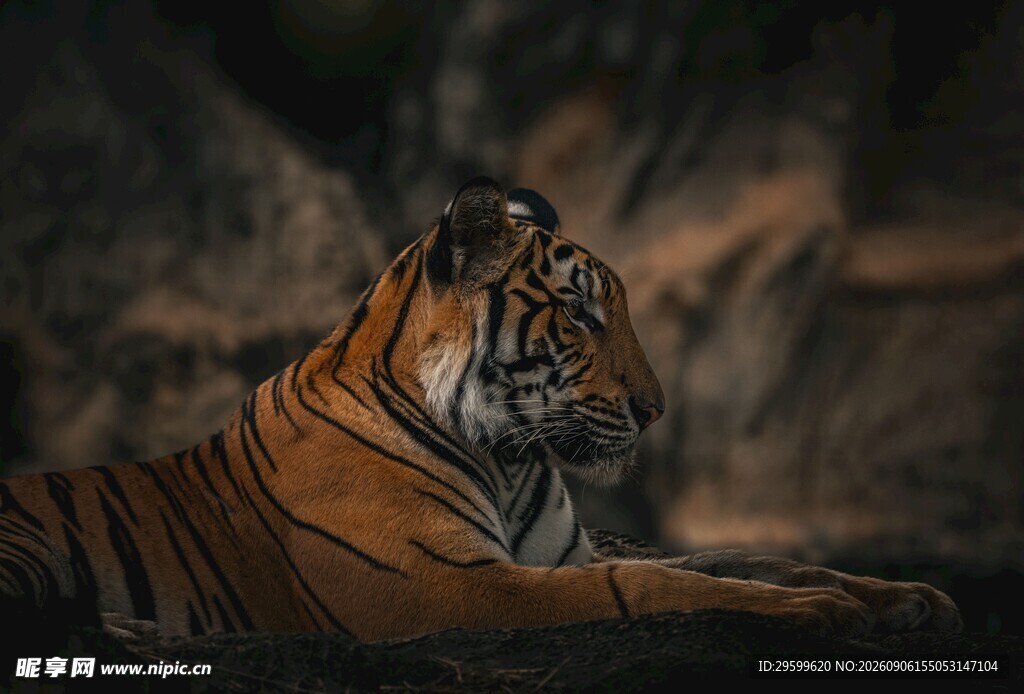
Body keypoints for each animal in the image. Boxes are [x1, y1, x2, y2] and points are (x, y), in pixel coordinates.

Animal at [0, 177, 962, 641]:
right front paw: (822, 616)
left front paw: (903, 597)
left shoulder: (562, 552)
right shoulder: (448, 586)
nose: (655, 410)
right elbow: (659, 584)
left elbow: (745, 558)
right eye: (580, 313)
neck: (507, 455)